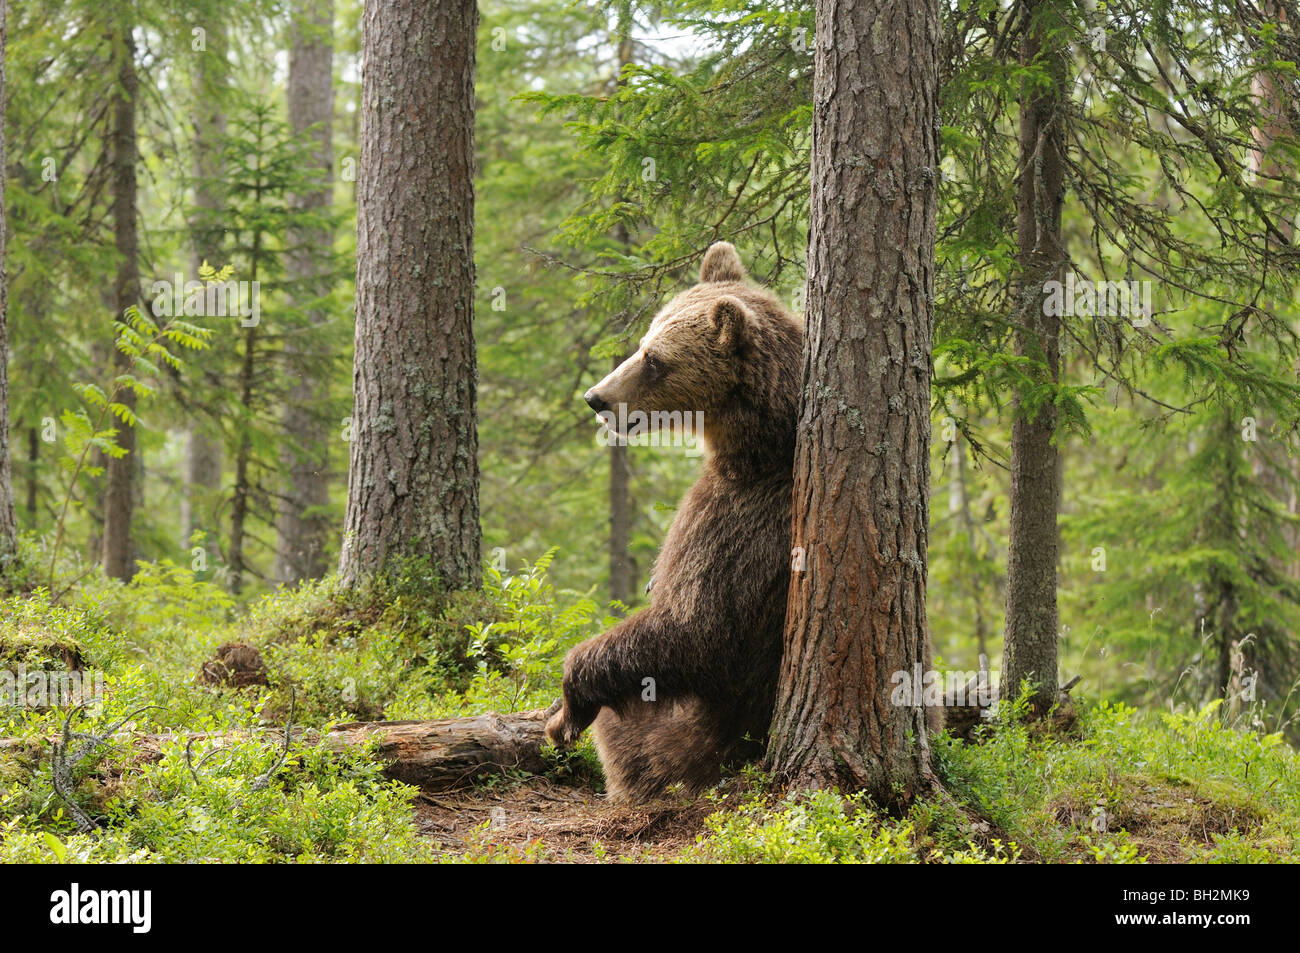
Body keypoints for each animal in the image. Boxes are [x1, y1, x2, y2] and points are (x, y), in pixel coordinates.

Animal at [540, 241, 800, 800]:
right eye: (643, 342)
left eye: (655, 359)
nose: (596, 398)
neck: (754, 452)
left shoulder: (745, 524)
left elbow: (697, 626)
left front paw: (564, 710)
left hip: (683, 742)